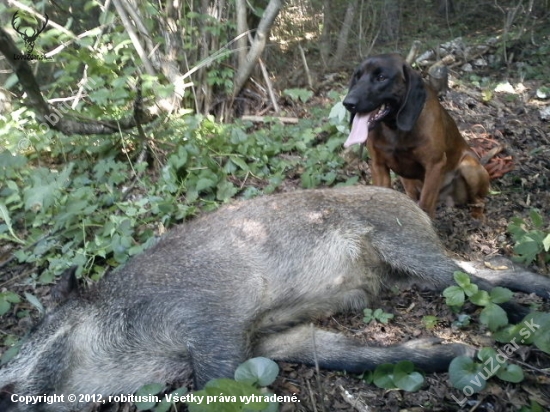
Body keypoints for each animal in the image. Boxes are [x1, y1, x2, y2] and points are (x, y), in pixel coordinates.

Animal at [344, 54, 492, 219]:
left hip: (469, 166)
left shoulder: (434, 165)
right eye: (357, 77)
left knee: (479, 201)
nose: (348, 103)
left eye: (381, 78)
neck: (394, 127)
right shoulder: (378, 165)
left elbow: (425, 206)